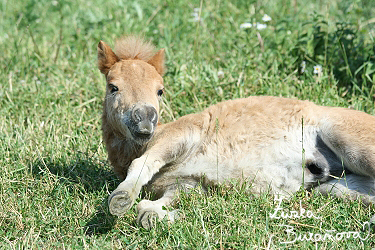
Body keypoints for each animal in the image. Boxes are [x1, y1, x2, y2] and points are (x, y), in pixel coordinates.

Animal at [97, 35, 375, 229]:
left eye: (160, 90)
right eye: (113, 87)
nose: (145, 122)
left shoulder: (182, 135)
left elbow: (144, 164)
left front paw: (121, 199)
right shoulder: (188, 183)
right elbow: (156, 207)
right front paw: (161, 215)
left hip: (352, 143)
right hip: (333, 187)